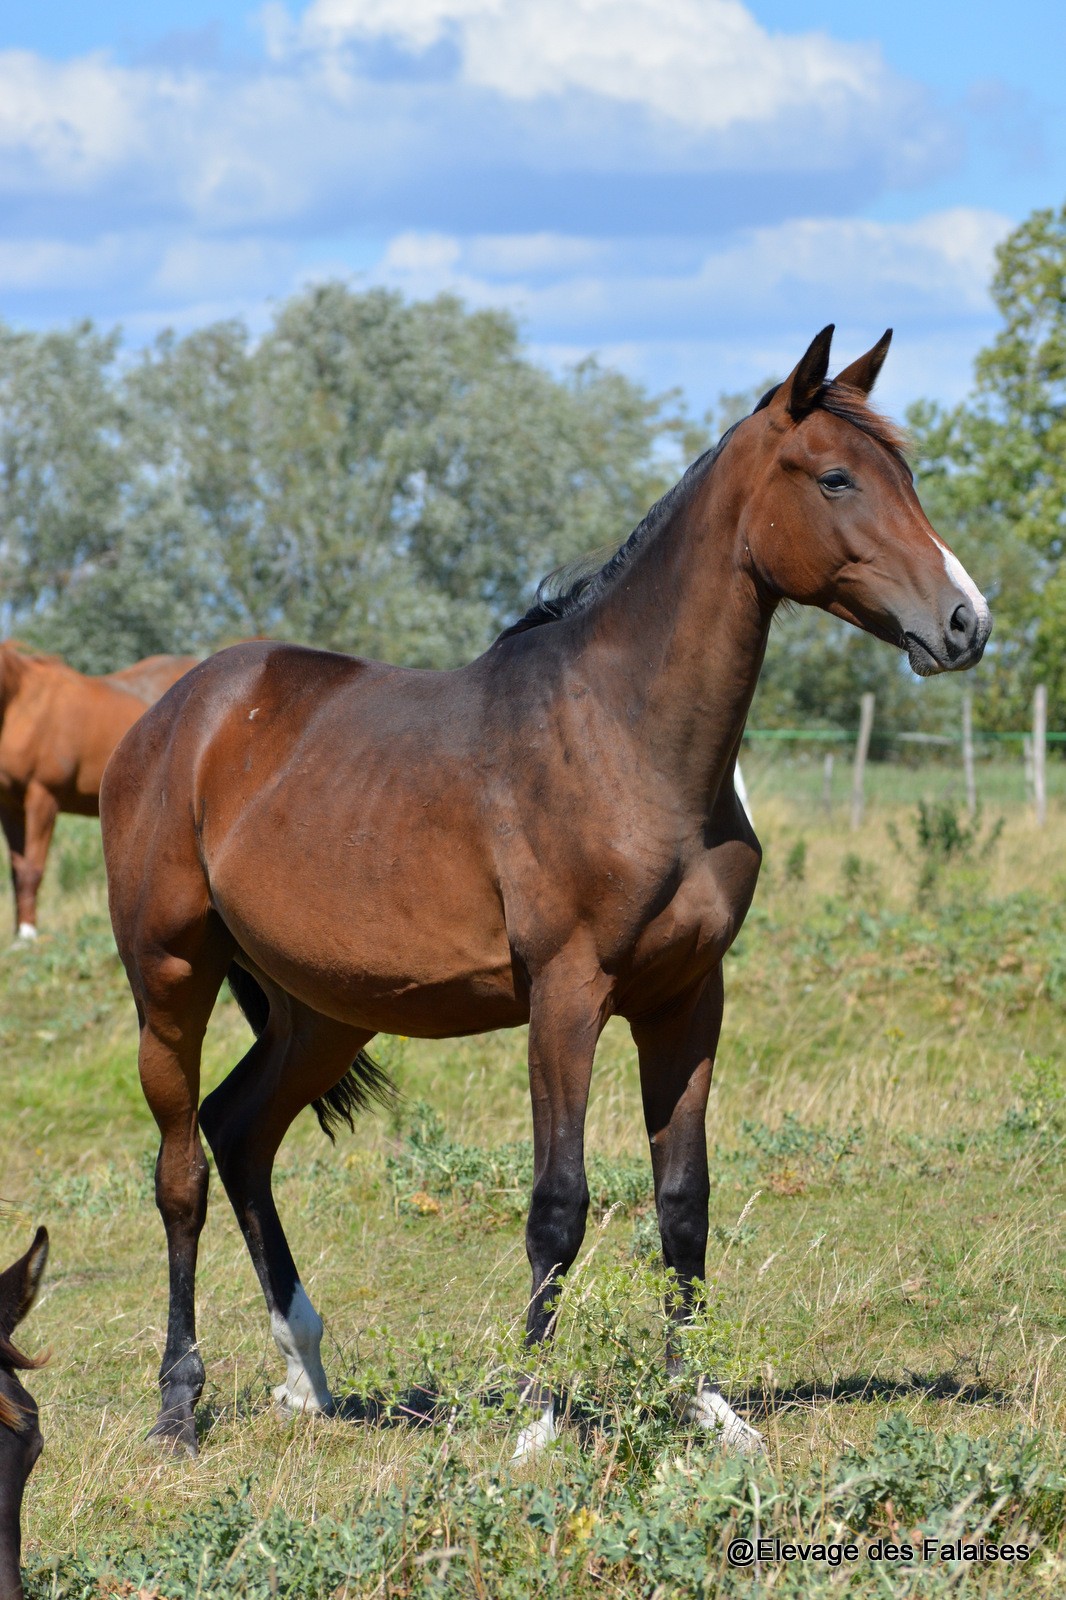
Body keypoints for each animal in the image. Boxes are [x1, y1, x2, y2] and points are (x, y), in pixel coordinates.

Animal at [0, 640, 196, 934]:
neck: (22, 705)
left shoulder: (43, 797)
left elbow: (32, 869)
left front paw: (28, 934)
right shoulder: (11, 805)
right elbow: (16, 871)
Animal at [99, 328, 985, 1465]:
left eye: (904, 475)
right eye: (835, 477)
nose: (964, 622)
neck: (623, 736)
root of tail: (171, 714)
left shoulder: (685, 1000)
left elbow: (683, 1200)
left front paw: (706, 1406)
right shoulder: (565, 996)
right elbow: (558, 1204)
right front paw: (534, 1418)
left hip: (324, 1011)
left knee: (240, 1130)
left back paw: (307, 1374)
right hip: (171, 978)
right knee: (182, 1173)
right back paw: (179, 1405)